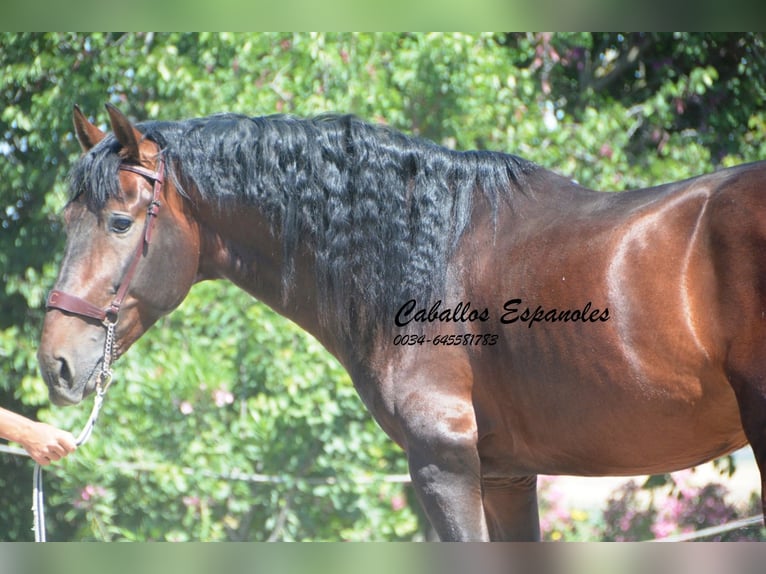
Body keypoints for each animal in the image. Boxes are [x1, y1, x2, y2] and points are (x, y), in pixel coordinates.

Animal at [37, 103, 766, 541]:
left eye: (120, 222)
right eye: (65, 221)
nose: (55, 362)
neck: (428, 252)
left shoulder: (444, 464)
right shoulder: (505, 476)